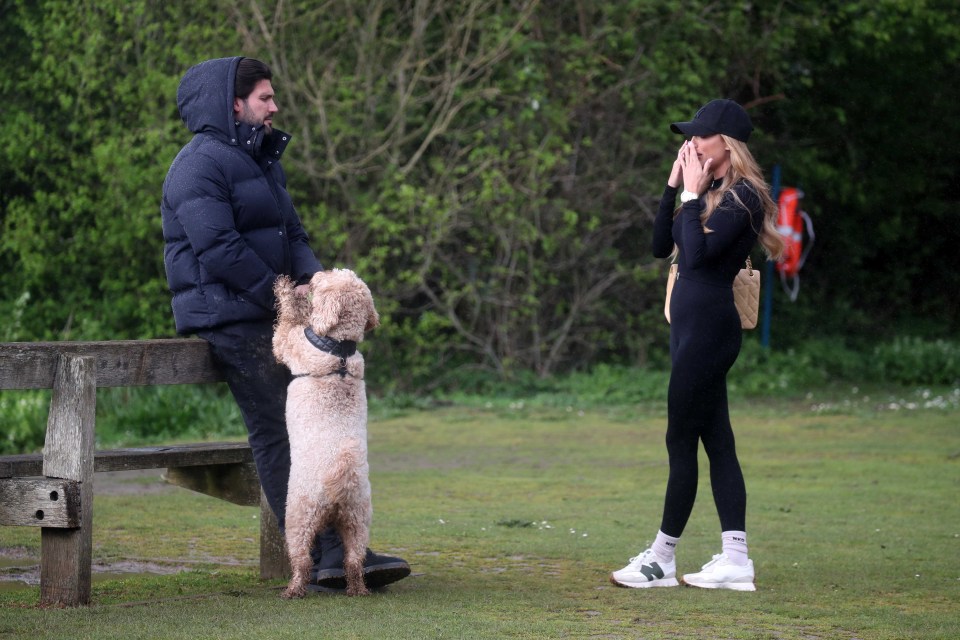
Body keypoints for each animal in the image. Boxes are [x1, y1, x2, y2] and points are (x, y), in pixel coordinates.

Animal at [272, 268, 380, 596]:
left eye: (330, 276)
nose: (316, 272)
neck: (340, 347)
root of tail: (342, 476)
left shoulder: (287, 342)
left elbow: (287, 322)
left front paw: (284, 289)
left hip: (299, 515)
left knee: (303, 560)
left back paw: (293, 590)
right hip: (358, 521)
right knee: (354, 561)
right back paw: (358, 589)